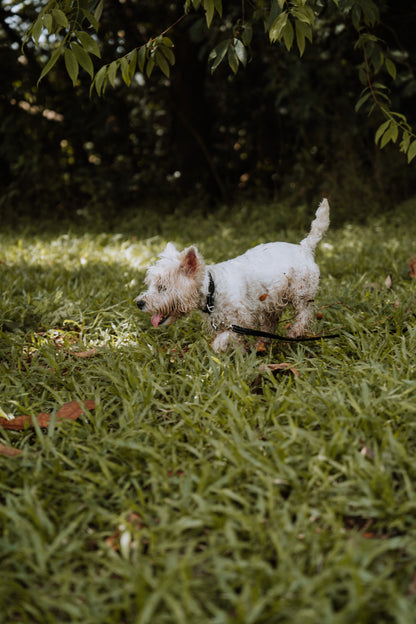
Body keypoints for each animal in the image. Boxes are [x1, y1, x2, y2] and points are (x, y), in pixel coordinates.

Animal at [136, 199, 332, 352]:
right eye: (151, 285)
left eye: (163, 287)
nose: (139, 303)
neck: (212, 289)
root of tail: (304, 247)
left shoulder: (241, 321)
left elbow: (224, 338)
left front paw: (219, 349)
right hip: (271, 304)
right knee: (270, 325)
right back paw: (261, 345)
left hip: (300, 291)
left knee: (305, 313)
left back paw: (294, 332)